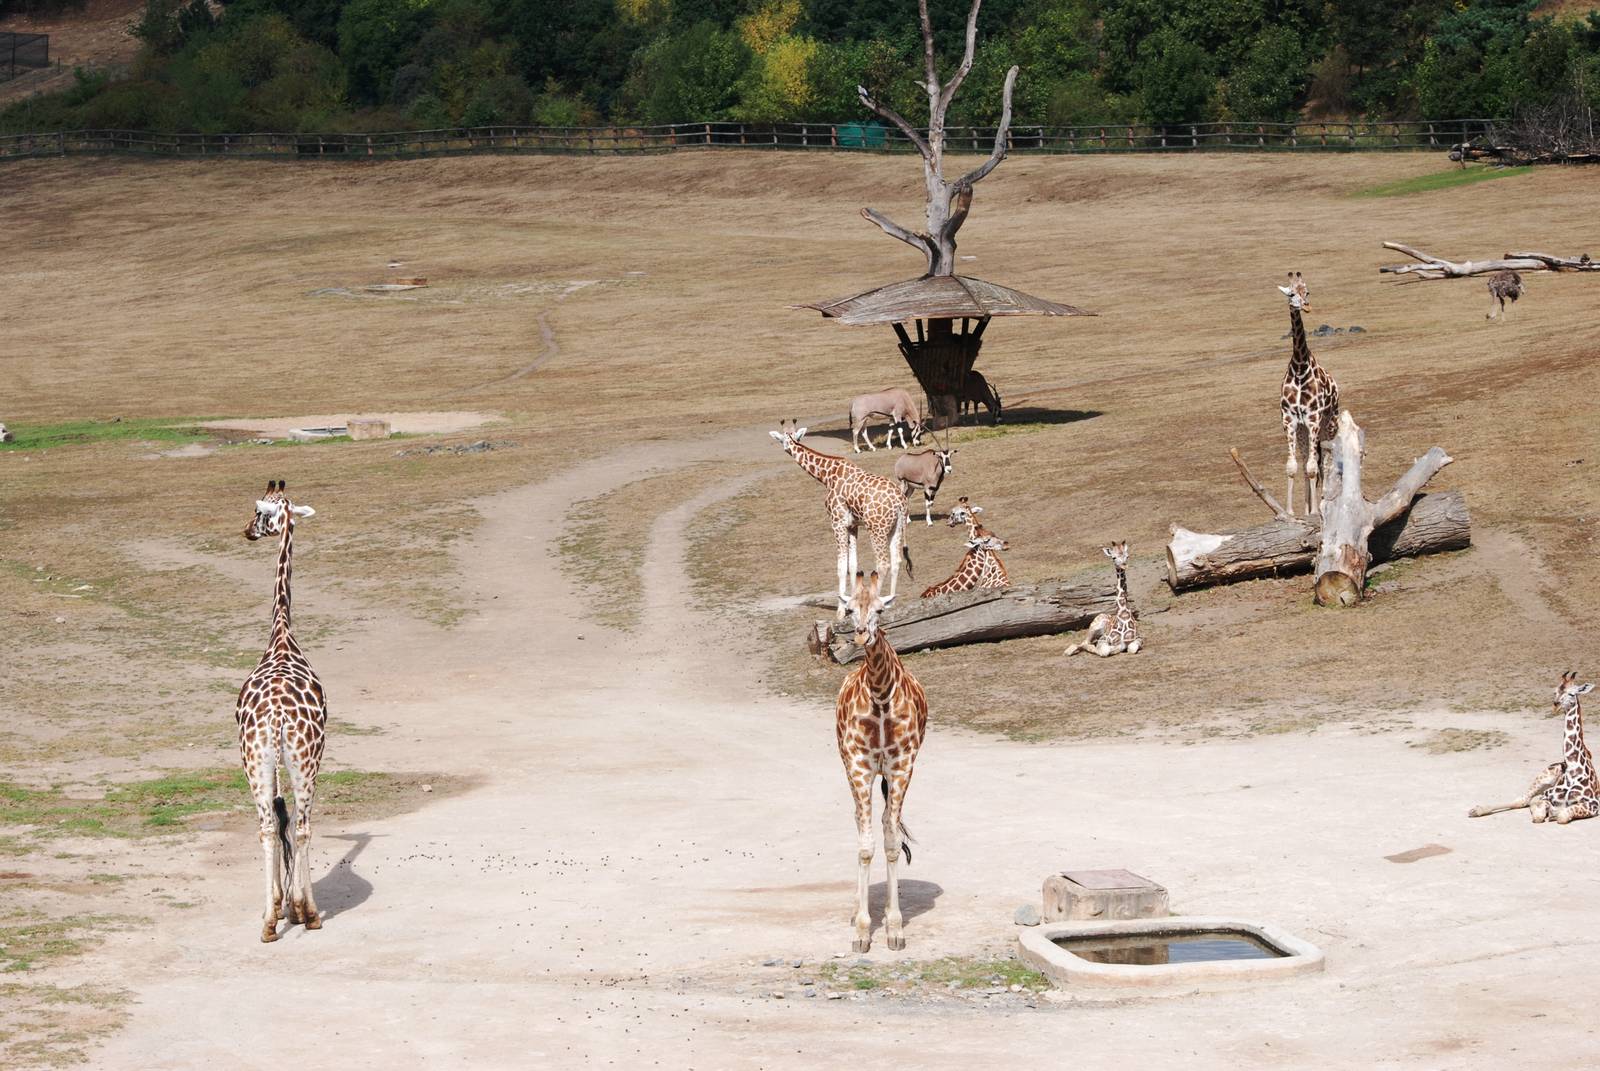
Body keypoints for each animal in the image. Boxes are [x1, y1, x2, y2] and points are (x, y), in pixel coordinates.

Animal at [769, 420, 913, 617]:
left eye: (783, 439)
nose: (786, 448)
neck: (826, 476)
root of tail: (900, 502)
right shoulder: (852, 525)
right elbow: (853, 565)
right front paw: (851, 602)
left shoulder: (837, 523)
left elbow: (841, 566)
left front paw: (840, 611)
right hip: (896, 527)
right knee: (896, 560)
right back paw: (890, 602)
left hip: (877, 529)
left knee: (883, 564)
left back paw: (877, 602)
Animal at [1279, 271, 1340, 517]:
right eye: (1291, 293)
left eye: (1308, 291)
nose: (1306, 306)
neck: (1299, 366)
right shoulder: (1290, 420)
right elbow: (1294, 466)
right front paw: (1290, 512)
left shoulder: (1313, 419)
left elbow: (1314, 468)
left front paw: (1315, 512)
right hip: (1304, 431)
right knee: (1307, 460)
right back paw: (1307, 508)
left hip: (1328, 426)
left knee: (1324, 463)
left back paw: (1319, 506)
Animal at [1470, 672, 1598, 824]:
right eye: (1555, 691)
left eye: (1572, 693)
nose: (1555, 705)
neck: (1573, 767)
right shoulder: (1546, 796)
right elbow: (1538, 814)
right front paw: (1549, 813)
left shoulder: (1594, 804)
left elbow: (1562, 815)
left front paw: (1554, 814)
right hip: (1543, 778)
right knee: (1523, 800)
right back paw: (1475, 810)